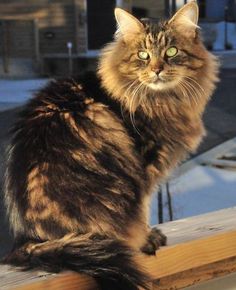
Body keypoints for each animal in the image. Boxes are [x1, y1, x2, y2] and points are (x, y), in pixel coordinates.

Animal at [3, 2, 218, 290]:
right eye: (143, 55)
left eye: (171, 52)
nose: (157, 69)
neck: (161, 100)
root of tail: (28, 240)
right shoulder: (144, 166)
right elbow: (144, 210)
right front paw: (146, 239)